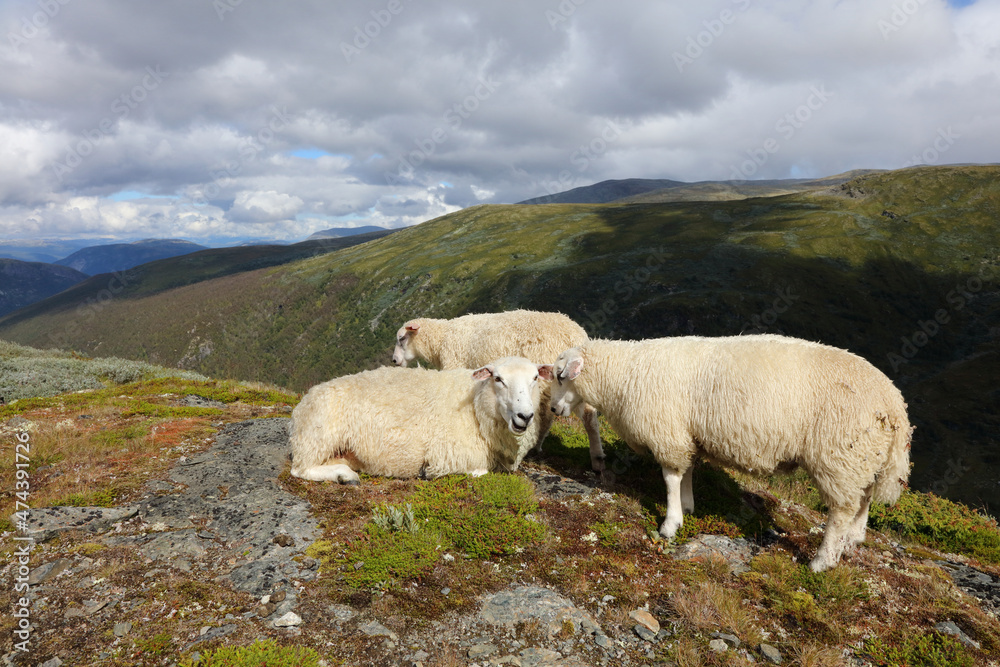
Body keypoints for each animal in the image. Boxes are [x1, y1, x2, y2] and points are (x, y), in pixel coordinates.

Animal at [290, 357, 554, 484]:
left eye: (534, 378)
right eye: (498, 379)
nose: (524, 416)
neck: (475, 409)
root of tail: (301, 406)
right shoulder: (447, 455)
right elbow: (479, 471)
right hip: (318, 436)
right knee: (300, 469)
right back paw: (345, 476)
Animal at [391, 309, 605, 475]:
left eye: (401, 338)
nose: (394, 361)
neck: (441, 339)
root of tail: (576, 335)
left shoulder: (455, 364)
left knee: (547, 417)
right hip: (575, 385)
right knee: (588, 416)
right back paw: (596, 458)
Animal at [549, 334, 912, 572]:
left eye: (560, 376)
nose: (552, 408)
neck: (624, 374)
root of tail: (893, 402)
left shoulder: (668, 434)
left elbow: (670, 478)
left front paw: (670, 523)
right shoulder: (686, 434)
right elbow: (687, 472)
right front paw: (688, 506)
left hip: (838, 456)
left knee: (841, 511)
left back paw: (822, 560)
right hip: (863, 458)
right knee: (864, 499)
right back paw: (852, 541)